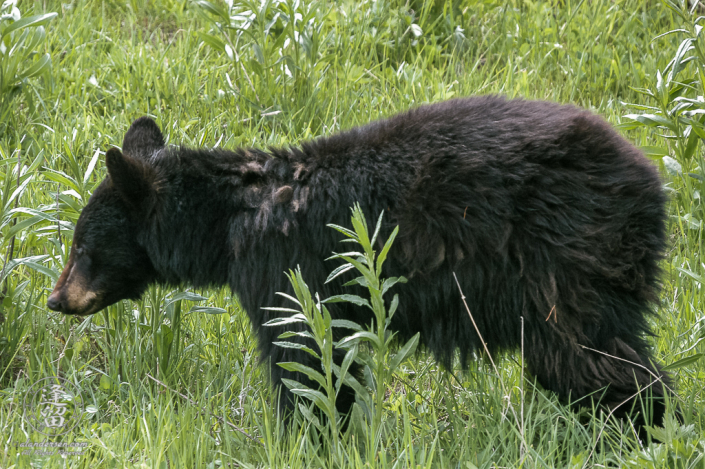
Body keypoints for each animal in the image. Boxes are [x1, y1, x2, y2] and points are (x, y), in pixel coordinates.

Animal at [48, 95, 672, 436]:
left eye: (81, 247)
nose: (56, 299)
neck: (229, 223)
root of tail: (650, 182)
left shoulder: (284, 268)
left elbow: (304, 355)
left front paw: (309, 435)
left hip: (562, 259)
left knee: (590, 356)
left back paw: (639, 429)